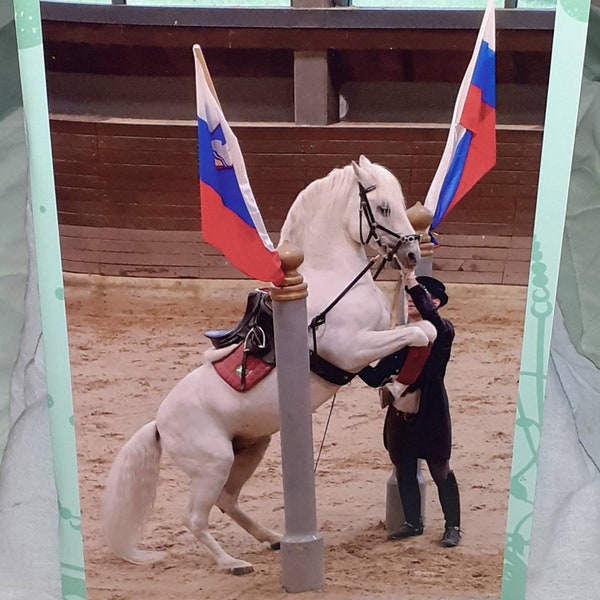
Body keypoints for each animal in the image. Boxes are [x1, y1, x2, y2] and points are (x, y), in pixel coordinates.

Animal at [101, 156, 434, 576]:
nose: (412, 255)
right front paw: (395, 388)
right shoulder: (353, 349)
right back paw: (233, 563)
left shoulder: (379, 333)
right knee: (195, 517)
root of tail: (159, 425)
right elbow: (419, 335)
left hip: (250, 449)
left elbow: (420, 330)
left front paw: (396, 384)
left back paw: (273, 538)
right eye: (384, 207)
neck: (334, 278)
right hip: (214, 463)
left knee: (227, 501)